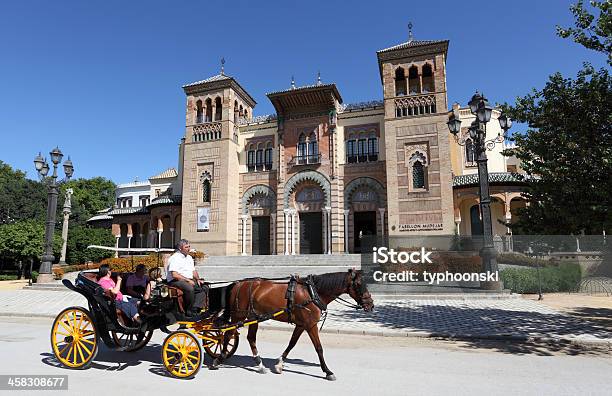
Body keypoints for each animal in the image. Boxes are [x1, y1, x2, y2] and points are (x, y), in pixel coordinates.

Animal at [213, 270, 376, 380]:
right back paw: (218, 359)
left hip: (253, 317)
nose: (371, 305)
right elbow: (319, 348)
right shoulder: (311, 325)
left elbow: (292, 343)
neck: (313, 292)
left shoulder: (301, 325)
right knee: (227, 334)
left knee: (250, 338)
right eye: (359, 284)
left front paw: (279, 364)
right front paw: (328, 371)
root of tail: (238, 284)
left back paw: (259, 364)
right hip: (238, 316)